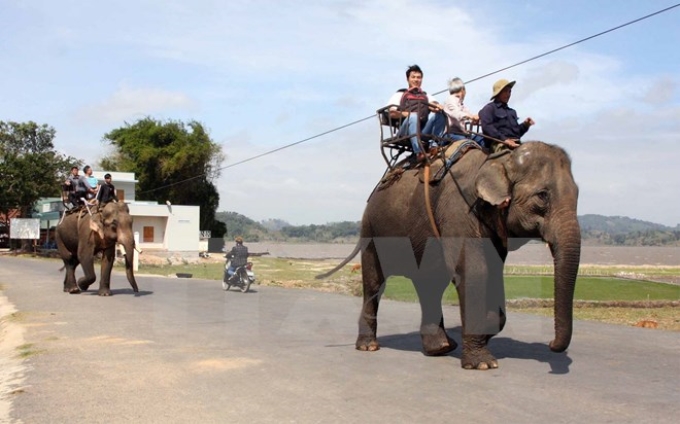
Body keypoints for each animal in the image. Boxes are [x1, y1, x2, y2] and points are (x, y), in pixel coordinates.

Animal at [318, 141, 580, 370]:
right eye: (542, 196)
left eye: (578, 195)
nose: (551, 344)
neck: (496, 159)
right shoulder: (459, 210)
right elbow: (474, 271)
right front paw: (483, 364)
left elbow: (493, 272)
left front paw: (482, 335)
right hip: (371, 232)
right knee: (375, 283)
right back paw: (369, 347)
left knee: (430, 284)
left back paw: (441, 347)